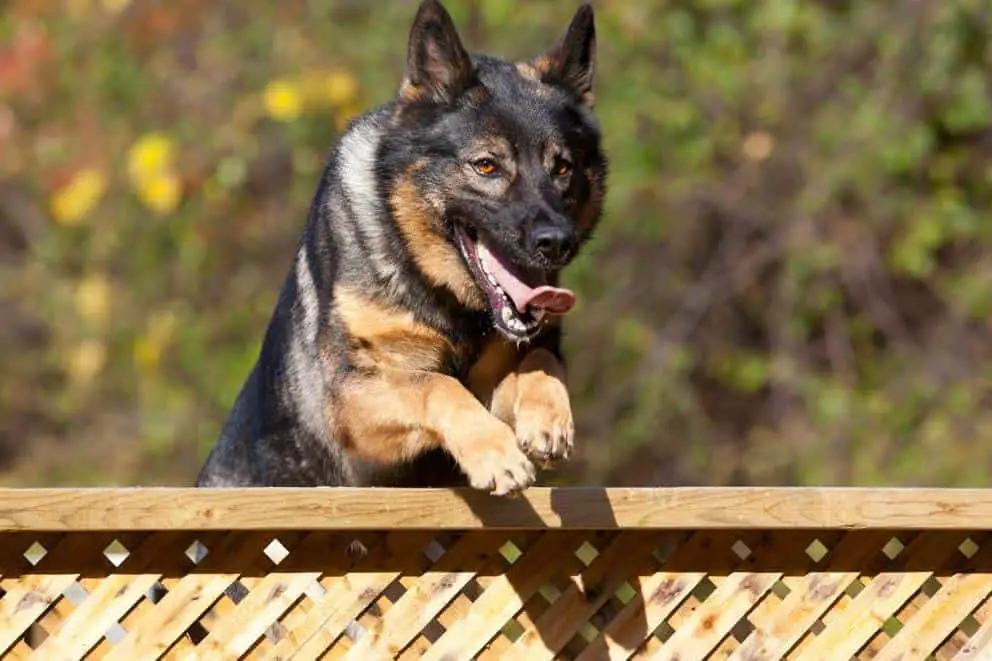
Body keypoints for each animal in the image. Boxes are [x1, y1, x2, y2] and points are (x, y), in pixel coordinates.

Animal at [196, 1, 604, 496]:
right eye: (486, 166)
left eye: (562, 168)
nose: (557, 242)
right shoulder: (352, 400)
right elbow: (436, 385)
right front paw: (496, 453)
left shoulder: (516, 359)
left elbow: (541, 360)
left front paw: (547, 421)